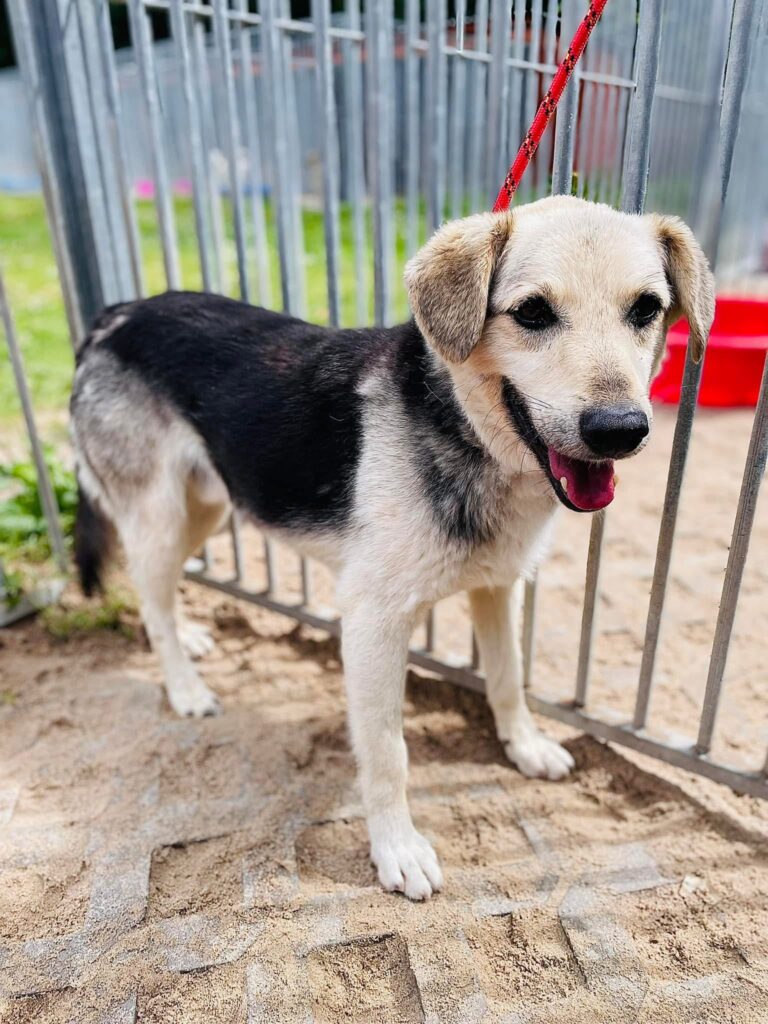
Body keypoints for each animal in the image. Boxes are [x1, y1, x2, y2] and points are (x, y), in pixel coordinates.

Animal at [70, 196, 714, 900]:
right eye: (533, 313)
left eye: (645, 309)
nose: (620, 430)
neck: (465, 431)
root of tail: (115, 314)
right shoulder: (374, 623)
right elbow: (387, 751)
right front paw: (396, 848)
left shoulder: (499, 586)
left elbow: (508, 678)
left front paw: (524, 746)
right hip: (160, 517)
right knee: (149, 599)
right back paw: (184, 686)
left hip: (213, 503)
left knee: (163, 591)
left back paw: (187, 637)